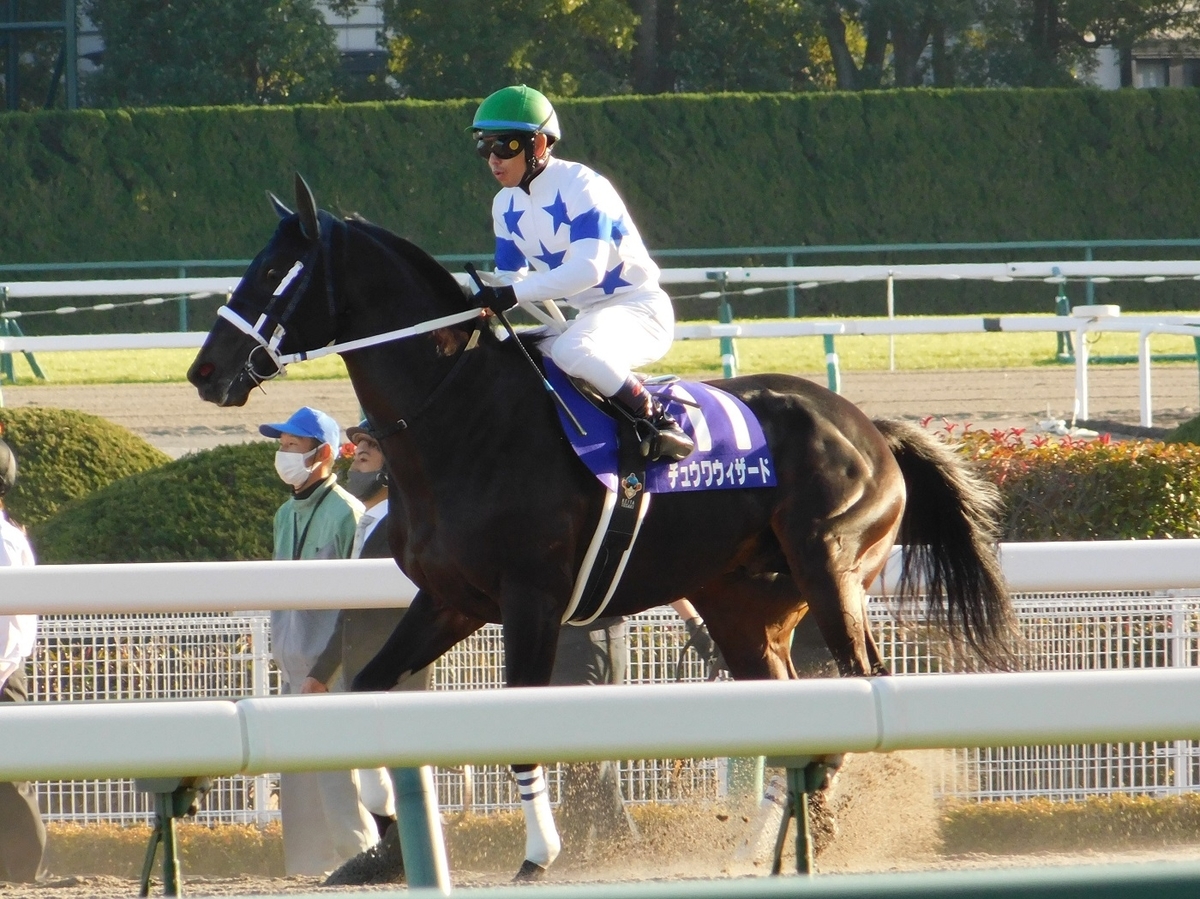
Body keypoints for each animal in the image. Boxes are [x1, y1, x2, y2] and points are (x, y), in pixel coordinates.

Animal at [187, 175, 1012, 878]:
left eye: (274, 272)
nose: (205, 371)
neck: (461, 418)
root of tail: (870, 427)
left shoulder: (532, 597)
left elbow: (523, 715)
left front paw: (539, 852)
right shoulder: (449, 599)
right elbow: (368, 689)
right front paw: (387, 833)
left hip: (830, 564)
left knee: (864, 679)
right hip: (743, 604)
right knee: (791, 709)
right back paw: (761, 845)